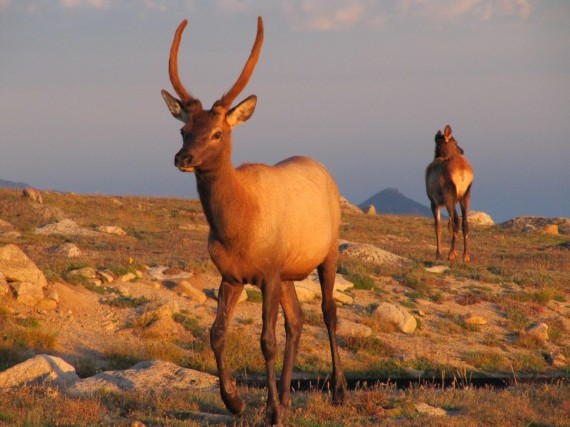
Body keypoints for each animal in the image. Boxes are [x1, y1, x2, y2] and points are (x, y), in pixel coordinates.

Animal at [160, 15, 346, 424]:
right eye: (183, 129)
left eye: (217, 132)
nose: (182, 158)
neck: (235, 229)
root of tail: (321, 167)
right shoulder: (232, 275)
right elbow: (216, 333)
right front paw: (236, 401)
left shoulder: (269, 273)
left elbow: (266, 341)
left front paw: (271, 411)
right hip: (291, 272)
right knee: (298, 320)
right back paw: (289, 397)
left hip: (327, 253)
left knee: (328, 312)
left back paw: (337, 390)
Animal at [424, 125, 472, 262]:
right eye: (455, 142)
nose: (462, 150)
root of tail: (462, 171)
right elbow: (448, 226)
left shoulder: (433, 201)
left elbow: (438, 227)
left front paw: (438, 254)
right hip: (466, 194)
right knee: (465, 222)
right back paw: (466, 255)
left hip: (449, 195)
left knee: (456, 220)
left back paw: (451, 254)